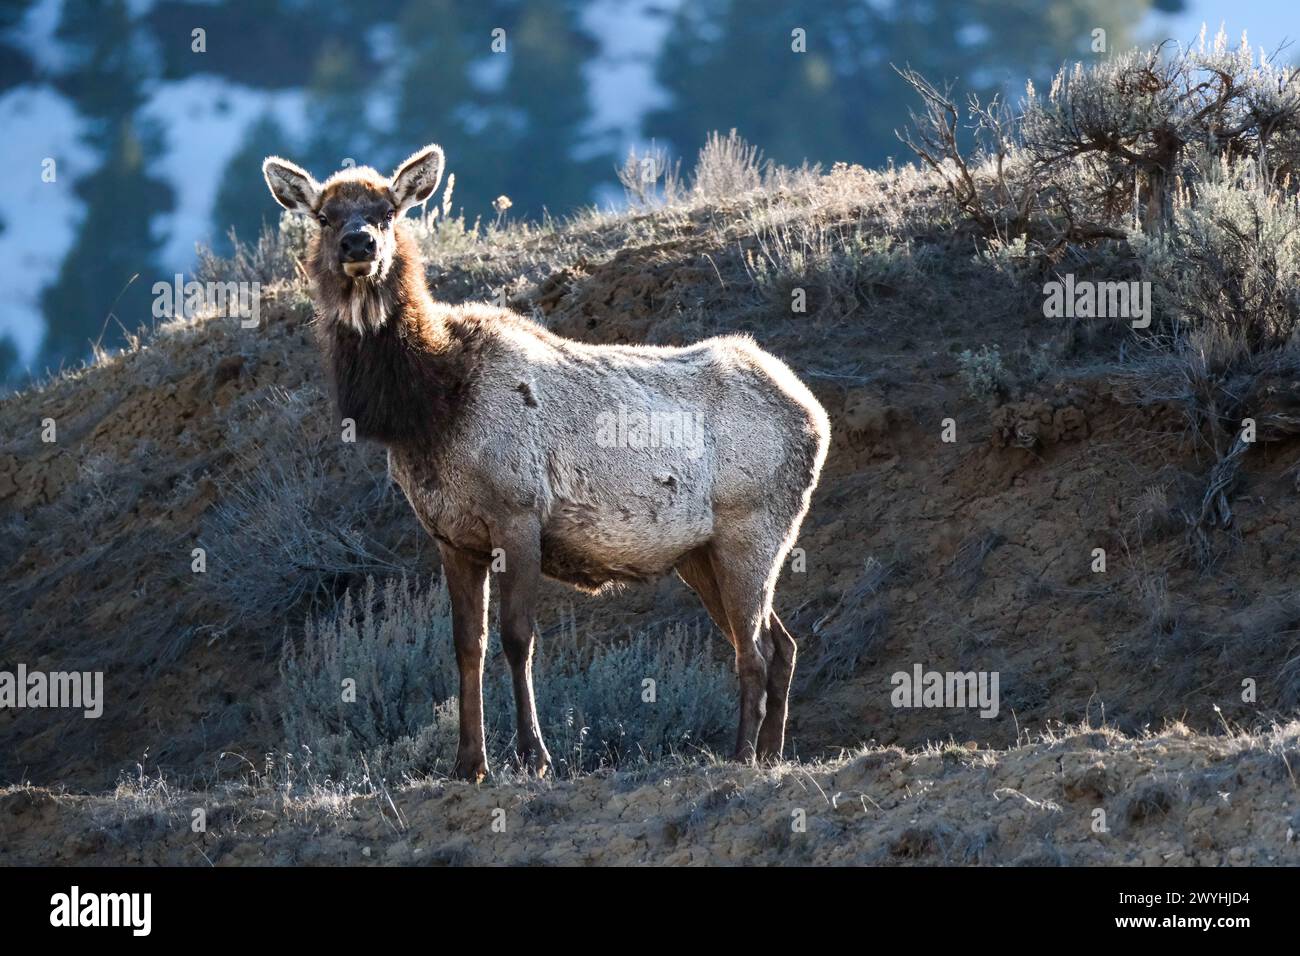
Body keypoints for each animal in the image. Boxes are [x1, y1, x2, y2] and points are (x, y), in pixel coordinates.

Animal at [262, 144, 830, 781]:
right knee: (780, 643)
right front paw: (469, 763)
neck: (429, 408)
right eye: (323, 216)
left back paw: (740, 755)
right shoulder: (451, 536)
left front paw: (534, 755)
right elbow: (466, 645)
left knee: (753, 649)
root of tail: (815, 415)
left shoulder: (518, 511)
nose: (359, 244)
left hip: (753, 527)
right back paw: (771, 753)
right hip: (701, 553)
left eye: (388, 212)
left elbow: (518, 638)